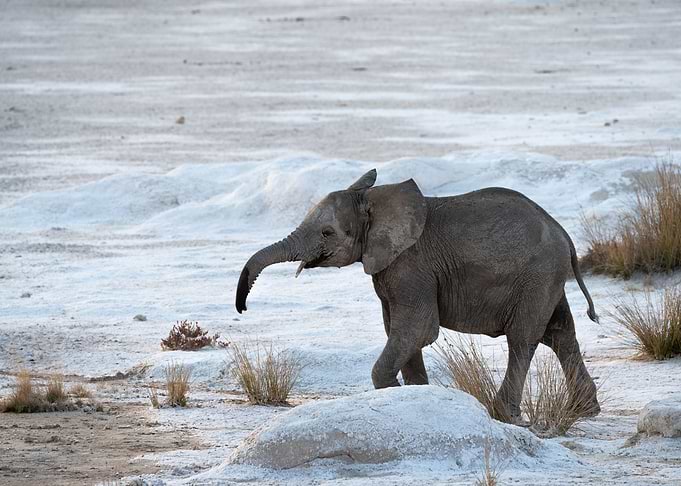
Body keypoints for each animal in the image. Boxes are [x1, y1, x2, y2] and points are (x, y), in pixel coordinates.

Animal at [235, 169, 600, 422]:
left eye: (327, 232)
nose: (242, 309)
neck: (376, 199)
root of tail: (564, 234)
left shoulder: (410, 265)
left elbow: (417, 329)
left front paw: (394, 393)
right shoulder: (391, 268)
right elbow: (398, 330)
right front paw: (416, 396)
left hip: (537, 276)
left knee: (523, 339)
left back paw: (505, 415)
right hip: (546, 277)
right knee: (561, 333)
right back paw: (584, 411)